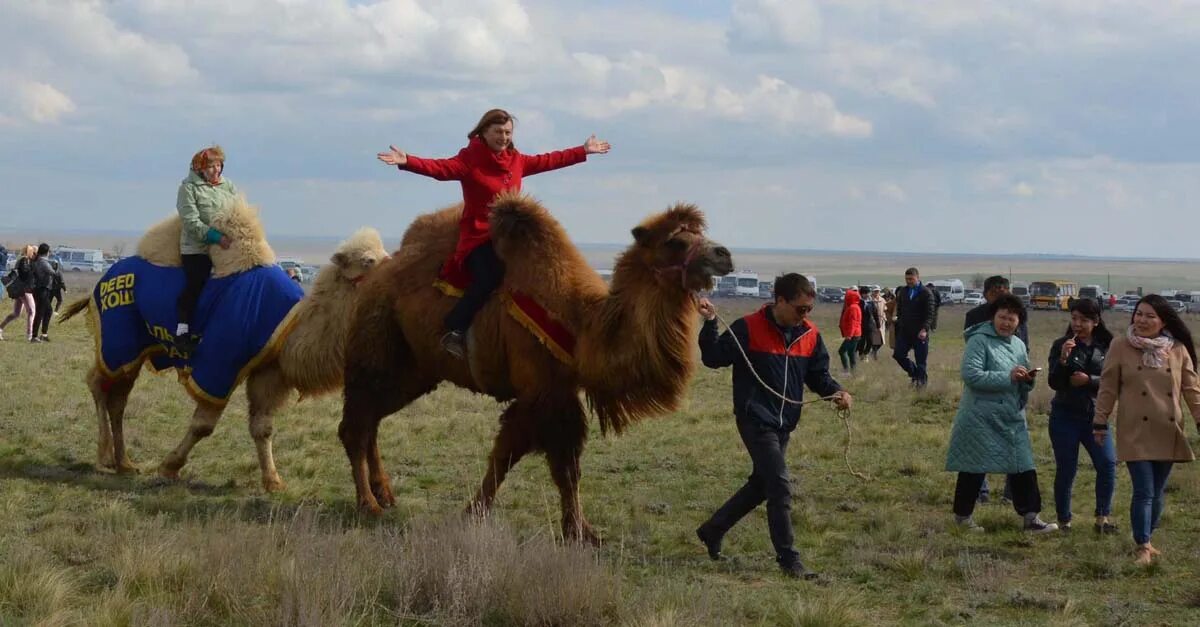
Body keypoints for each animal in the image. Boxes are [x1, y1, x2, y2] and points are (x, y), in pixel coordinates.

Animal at [62, 200, 388, 487]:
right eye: (368, 260)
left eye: (386, 253)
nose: (395, 268)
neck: (293, 322)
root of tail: (104, 278)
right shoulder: (220, 359)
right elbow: (204, 424)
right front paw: (169, 467)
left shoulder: (269, 369)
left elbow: (262, 427)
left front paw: (273, 481)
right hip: (119, 336)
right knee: (97, 382)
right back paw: (104, 457)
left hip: (135, 348)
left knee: (118, 396)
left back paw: (124, 463)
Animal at [338, 190, 729, 540]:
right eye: (676, 242)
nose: (724, 254)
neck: (582, 324)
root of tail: (376, 275)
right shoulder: (538, 391)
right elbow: (508, 457)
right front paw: (473, 514)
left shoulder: (562, 393)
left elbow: (568, 468)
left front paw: (581, 531)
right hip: (379, 348)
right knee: (355, 424)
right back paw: (369, 505)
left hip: (416, 370)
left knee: (370, 419)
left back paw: (385, 495)